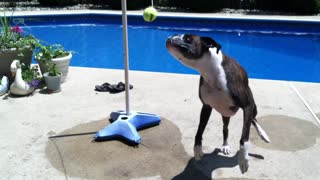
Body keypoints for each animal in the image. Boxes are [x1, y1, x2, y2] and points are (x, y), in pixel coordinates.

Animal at [165, 33, 270, 173]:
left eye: (188, 38)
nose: (170, 37)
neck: (212, 72)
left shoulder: (247, 105)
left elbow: (244, 136)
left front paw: (243, 159)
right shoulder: (206, 107)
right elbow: (199, 130)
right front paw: (197, 150)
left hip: (252, 106)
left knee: (253, 119)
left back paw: (263, 134)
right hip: (225, 114)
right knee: (225, 129)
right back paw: (225, 145)